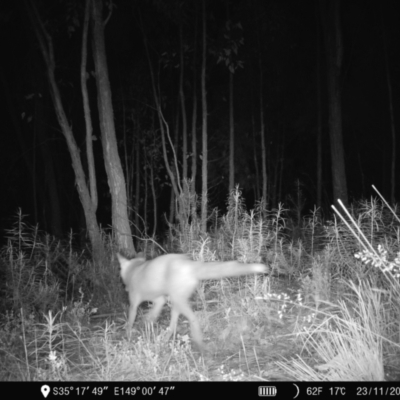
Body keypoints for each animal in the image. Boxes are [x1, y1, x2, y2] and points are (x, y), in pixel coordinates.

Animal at [116, 253, 266, 350]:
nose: (124, 287)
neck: (134, 270)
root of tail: (190, 263)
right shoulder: (159, 299)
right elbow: (151, 315)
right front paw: (147, 324)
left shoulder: (134, 303)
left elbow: (130, 321)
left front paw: (127, 335)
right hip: (176, 301)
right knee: (173, 325)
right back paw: (164, 340)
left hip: (178, 301)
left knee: (193, 319)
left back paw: (199, 342)